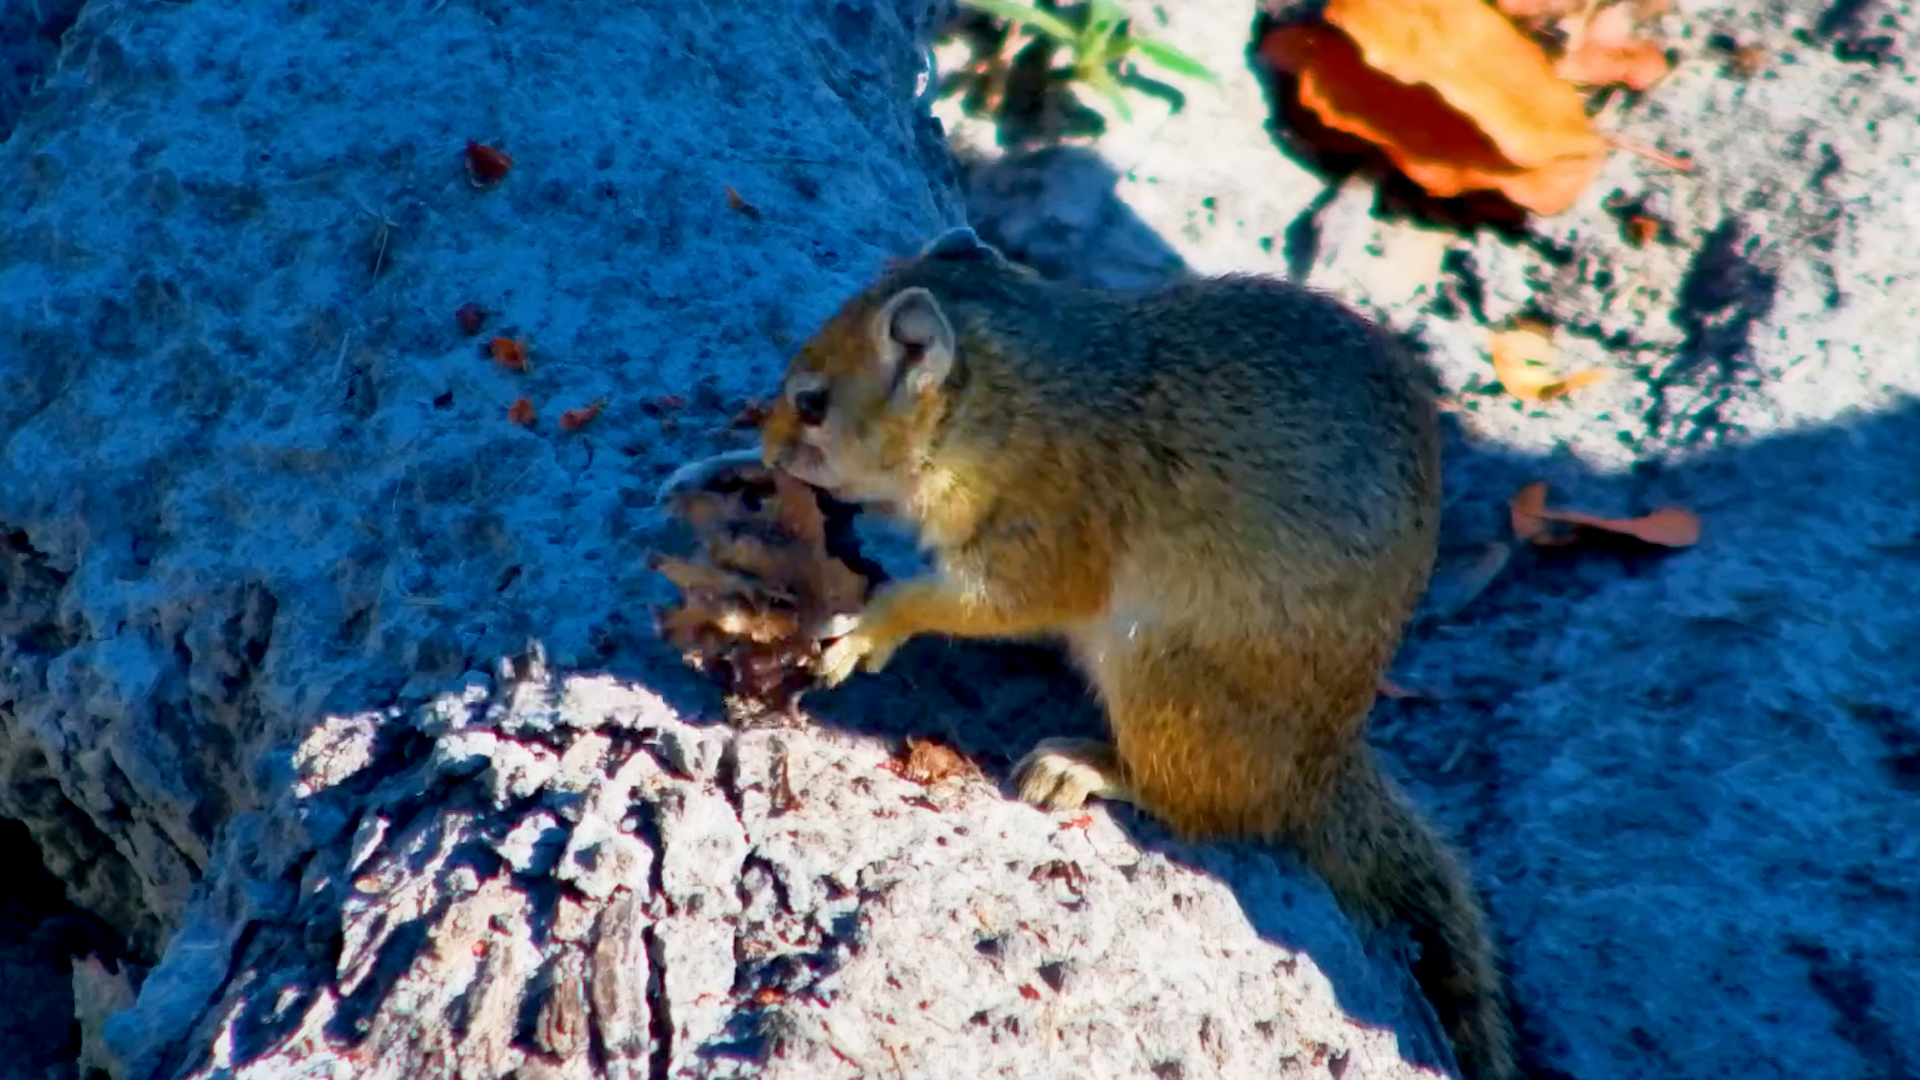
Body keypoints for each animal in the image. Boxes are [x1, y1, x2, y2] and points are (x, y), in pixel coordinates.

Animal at [740, 226, 1514, 1079]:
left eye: (813, 404)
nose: (765, 448)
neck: (1007, 399)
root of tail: (1316, 773)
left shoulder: (1049, 531)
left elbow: (977, 602)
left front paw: (869, 627)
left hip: (1160, 675)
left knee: (1198, 802)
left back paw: (1084, 765)